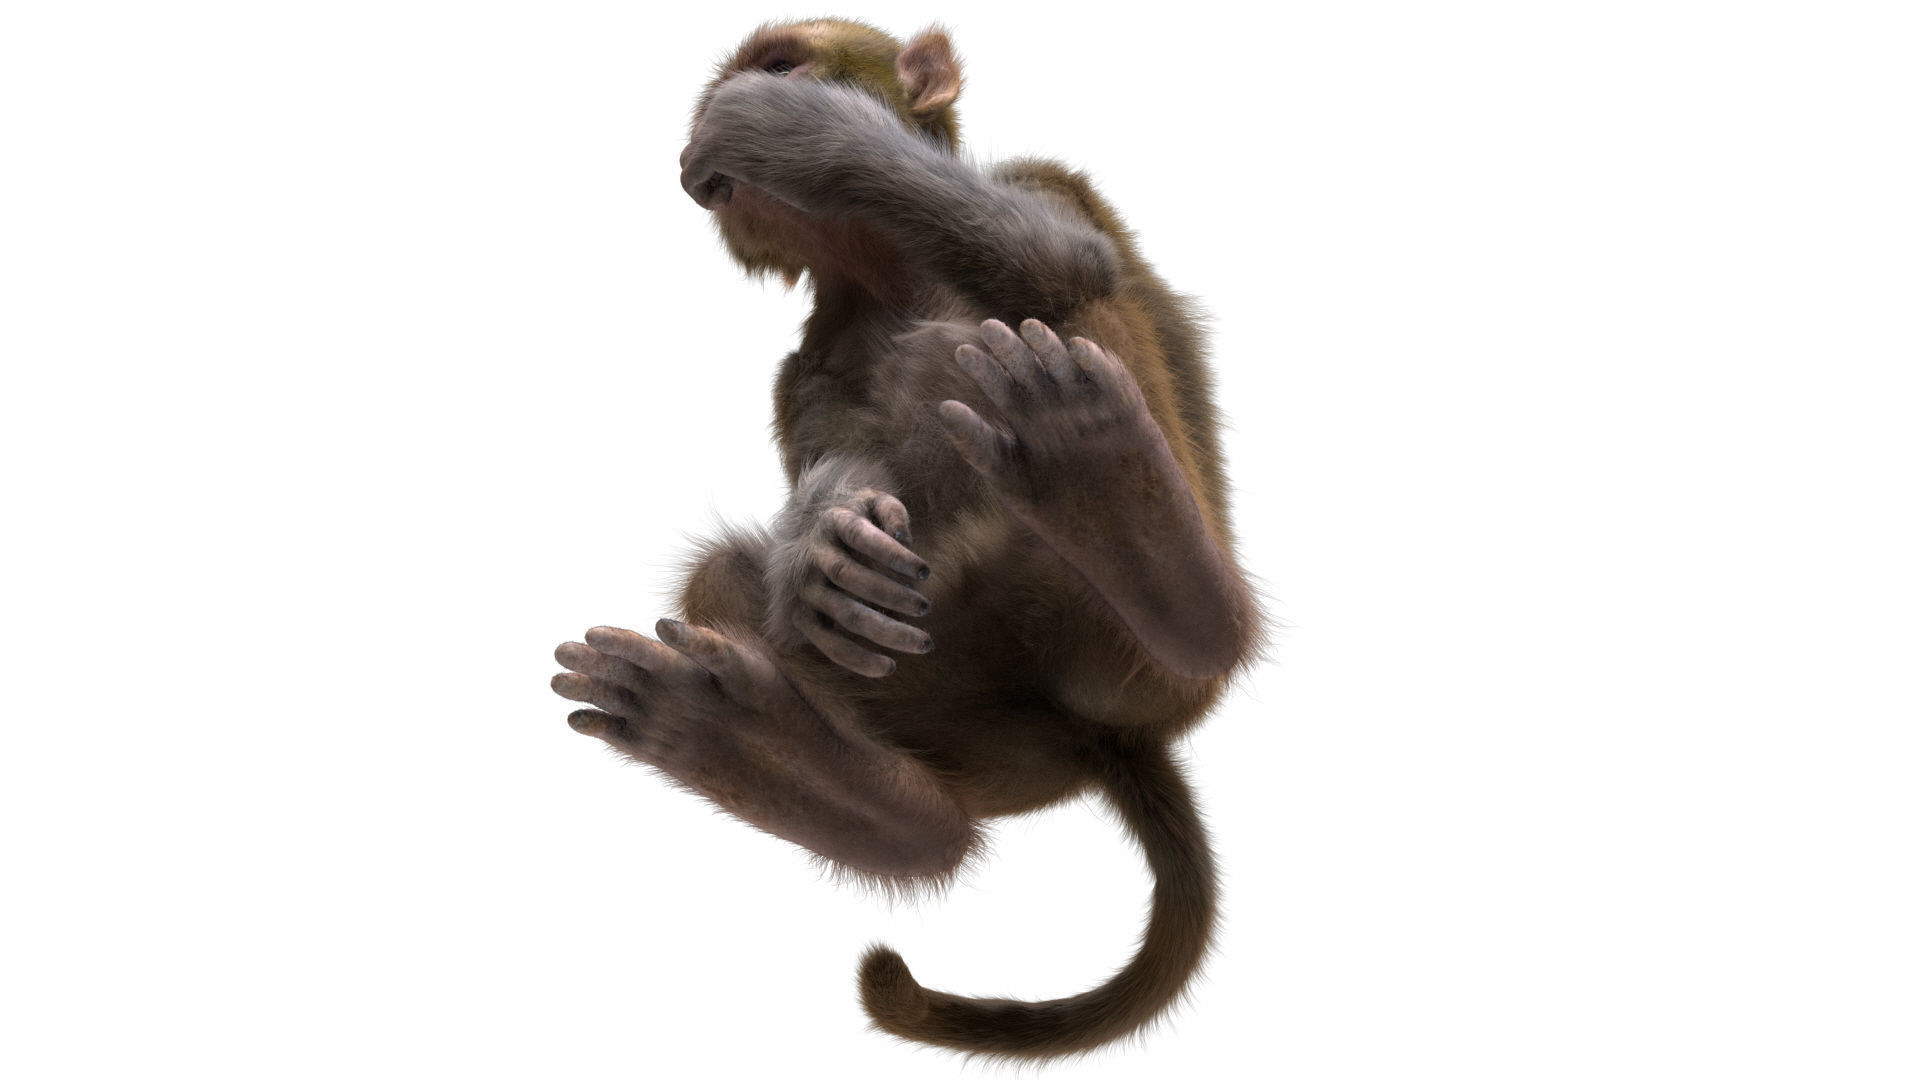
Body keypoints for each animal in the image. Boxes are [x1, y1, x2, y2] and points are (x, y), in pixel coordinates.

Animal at [550, 19, 1261, 1060]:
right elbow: (828, 479)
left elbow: (1065, 264)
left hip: (1127, 668)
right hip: (983, 738)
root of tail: (1101, 740)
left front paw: (797, 132)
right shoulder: (803, 363)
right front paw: (825, 536)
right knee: (747, 588)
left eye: (782, 63)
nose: (695, 158)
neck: (880, 272)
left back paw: (1121, 512)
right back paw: (820, 777)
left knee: (1038, 327)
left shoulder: (1039, 182)